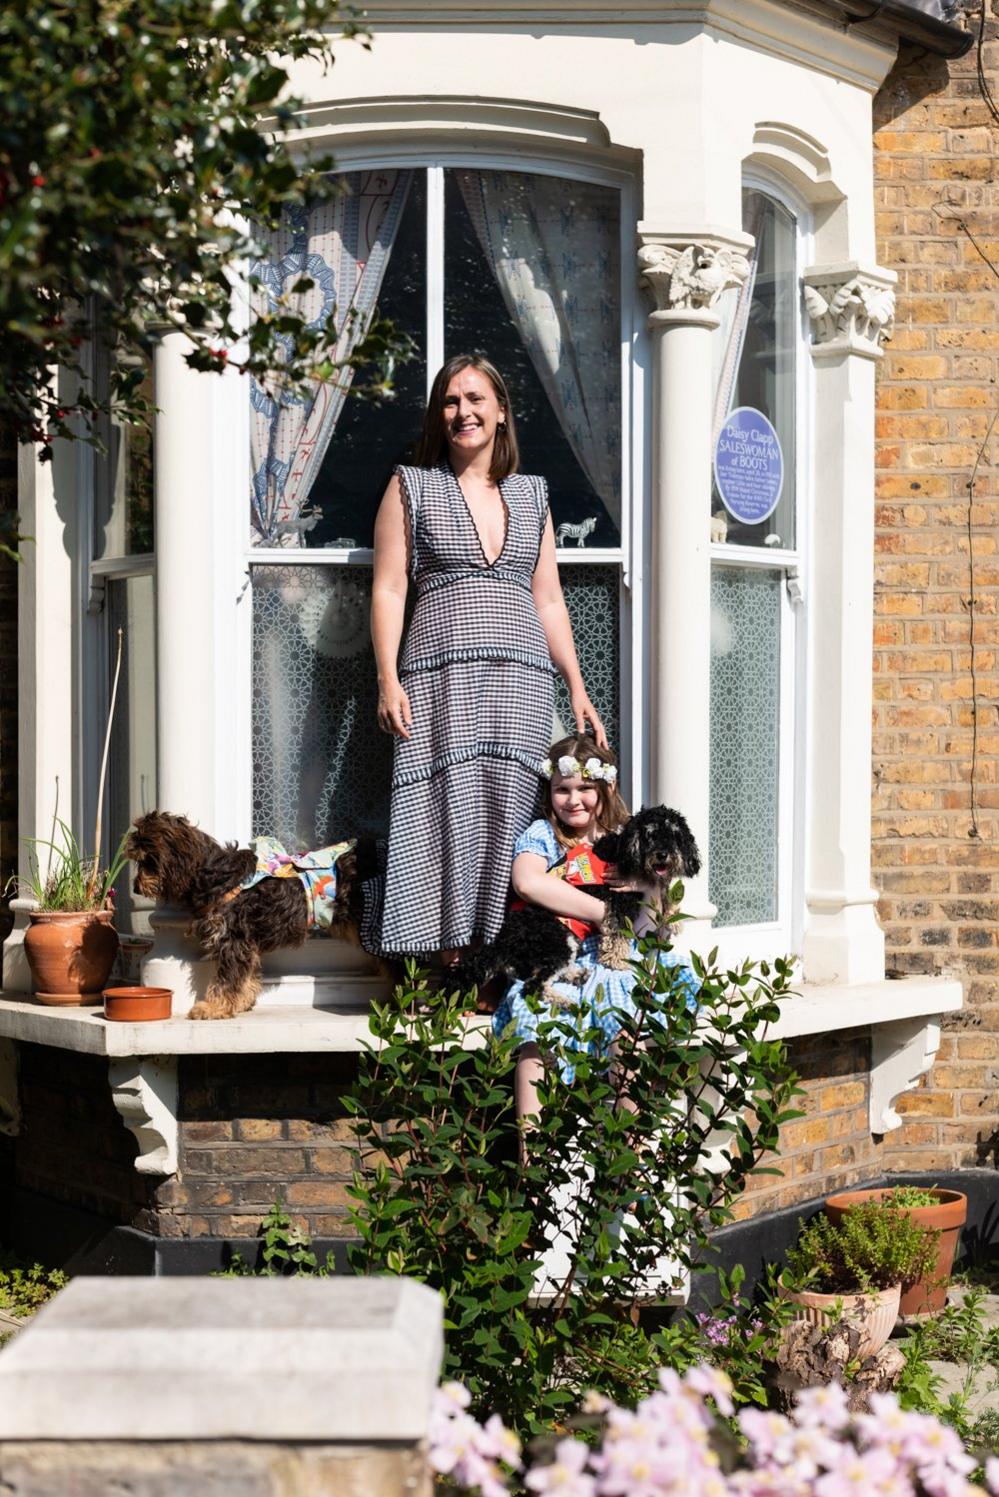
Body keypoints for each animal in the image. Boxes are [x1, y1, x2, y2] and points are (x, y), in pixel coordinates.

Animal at [125, 814, 371, 1023]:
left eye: (148, 860)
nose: (136, 888)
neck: (215, 875)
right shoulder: (246, 942)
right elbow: (246, 976)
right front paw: (241, 1002)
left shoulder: (233, 939)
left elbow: (226, 979)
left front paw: (213, 1008)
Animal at [458, 802, 700, 999]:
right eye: (650, 835)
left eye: (674, 836)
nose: (663, 855)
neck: (625, 853)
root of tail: (502, 943)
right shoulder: (619, 903)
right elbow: (618, 937)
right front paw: (617, 962)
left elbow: (664, 894)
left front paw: (674, 916)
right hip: (558, 941)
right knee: (533, 987)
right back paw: (566, 1002)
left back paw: (577, 976)